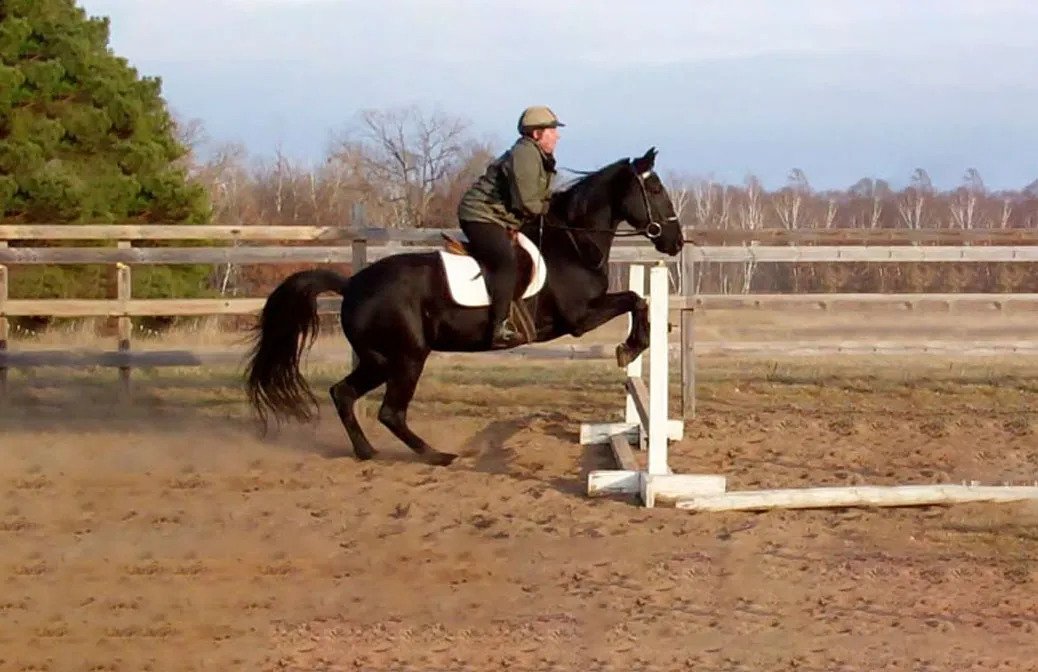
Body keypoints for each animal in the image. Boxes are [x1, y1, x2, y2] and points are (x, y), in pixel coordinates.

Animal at [243, 147, 684, 466]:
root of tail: (351, 284)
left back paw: (366, 451)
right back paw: (436, 456)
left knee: (343, 393)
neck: (573, 243)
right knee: (389, 411)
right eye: (656, 190)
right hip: (405, 357)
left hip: (379, 359)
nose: (676, 242)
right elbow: (636, 300)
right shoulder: (580, 316)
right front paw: (631, 346)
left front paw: (644, 339)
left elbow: (638, 301)